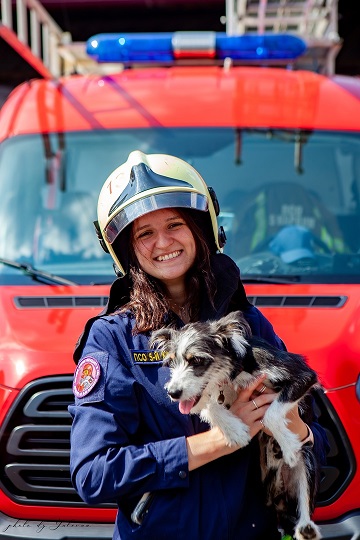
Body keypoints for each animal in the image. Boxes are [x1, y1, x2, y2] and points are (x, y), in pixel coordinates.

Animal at [150, 310, 322, 540]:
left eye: (197, 360)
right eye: (171, 363)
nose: (173, 393)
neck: (235, 370)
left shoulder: (301, 375)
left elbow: (270, 414)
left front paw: (288, 446)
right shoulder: (214, 396)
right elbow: (208, 408)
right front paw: (235, 430)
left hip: (308, 463)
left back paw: (306, 527)